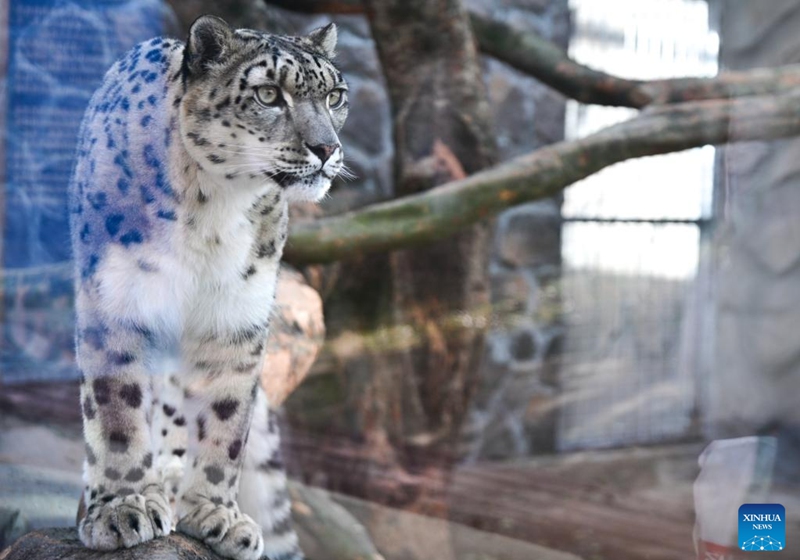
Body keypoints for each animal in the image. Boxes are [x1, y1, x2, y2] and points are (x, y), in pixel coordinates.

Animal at [68, 15, 348, 560]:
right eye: (268, 94)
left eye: (336, 96)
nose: (327, 148)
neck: (213, 210)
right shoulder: (117, 302)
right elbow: (117, 411)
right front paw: (124, 507)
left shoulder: (237, 317)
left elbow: (227, 419)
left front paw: (216, 514)